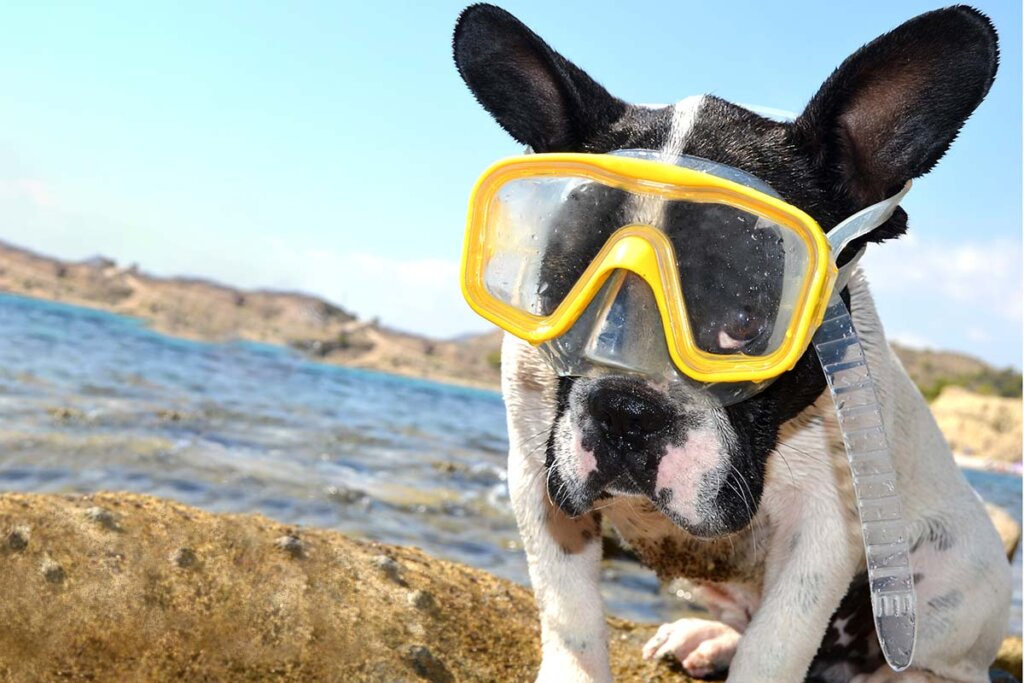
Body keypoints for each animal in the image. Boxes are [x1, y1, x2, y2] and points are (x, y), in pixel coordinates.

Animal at [454, 5, 1007, 683]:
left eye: (745, 323)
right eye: (559, 295)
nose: (628, 410)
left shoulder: (823, 531)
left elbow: (775, 647)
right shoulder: (539, 475)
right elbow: (569, 613)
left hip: (942, 593)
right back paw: (709, 638)